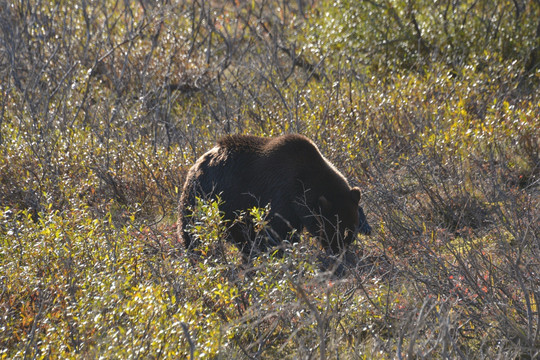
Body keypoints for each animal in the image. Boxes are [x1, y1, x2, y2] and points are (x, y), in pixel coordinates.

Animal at [177, 134, 372, 258]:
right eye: (336, 230)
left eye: (349, 232)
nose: (339, 251)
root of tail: (197, 162)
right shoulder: (280, 195)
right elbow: (277, 232)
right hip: (203, 198)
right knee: (191, 230)